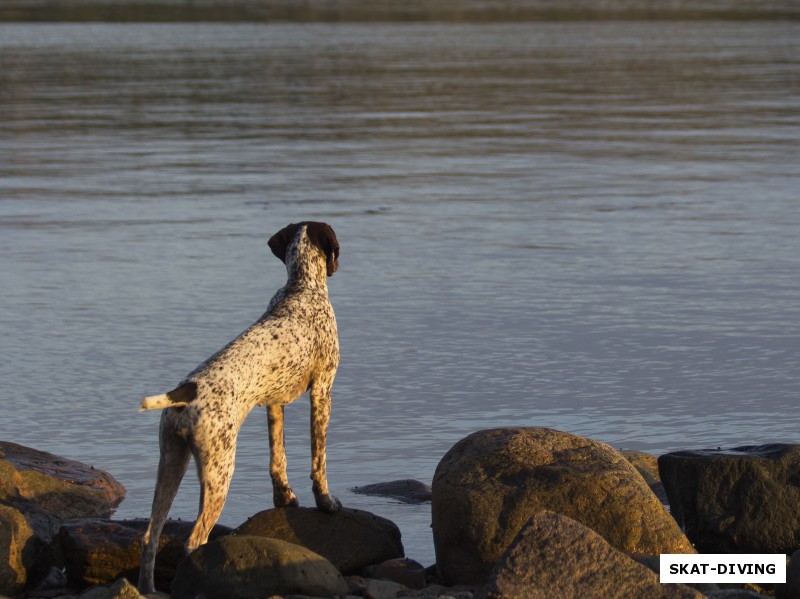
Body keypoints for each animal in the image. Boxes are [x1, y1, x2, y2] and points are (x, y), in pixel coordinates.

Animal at [137, 221, 340, 596]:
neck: (301, 287)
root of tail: (184, 392)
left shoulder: (274, 404)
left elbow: (278, 460)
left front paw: (285, 498)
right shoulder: (322, 391)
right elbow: (318, 461)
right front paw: (326, 502)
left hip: (171, 462)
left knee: (150, 537)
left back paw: (148, 589)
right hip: (220, 470)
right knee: (194, 540)